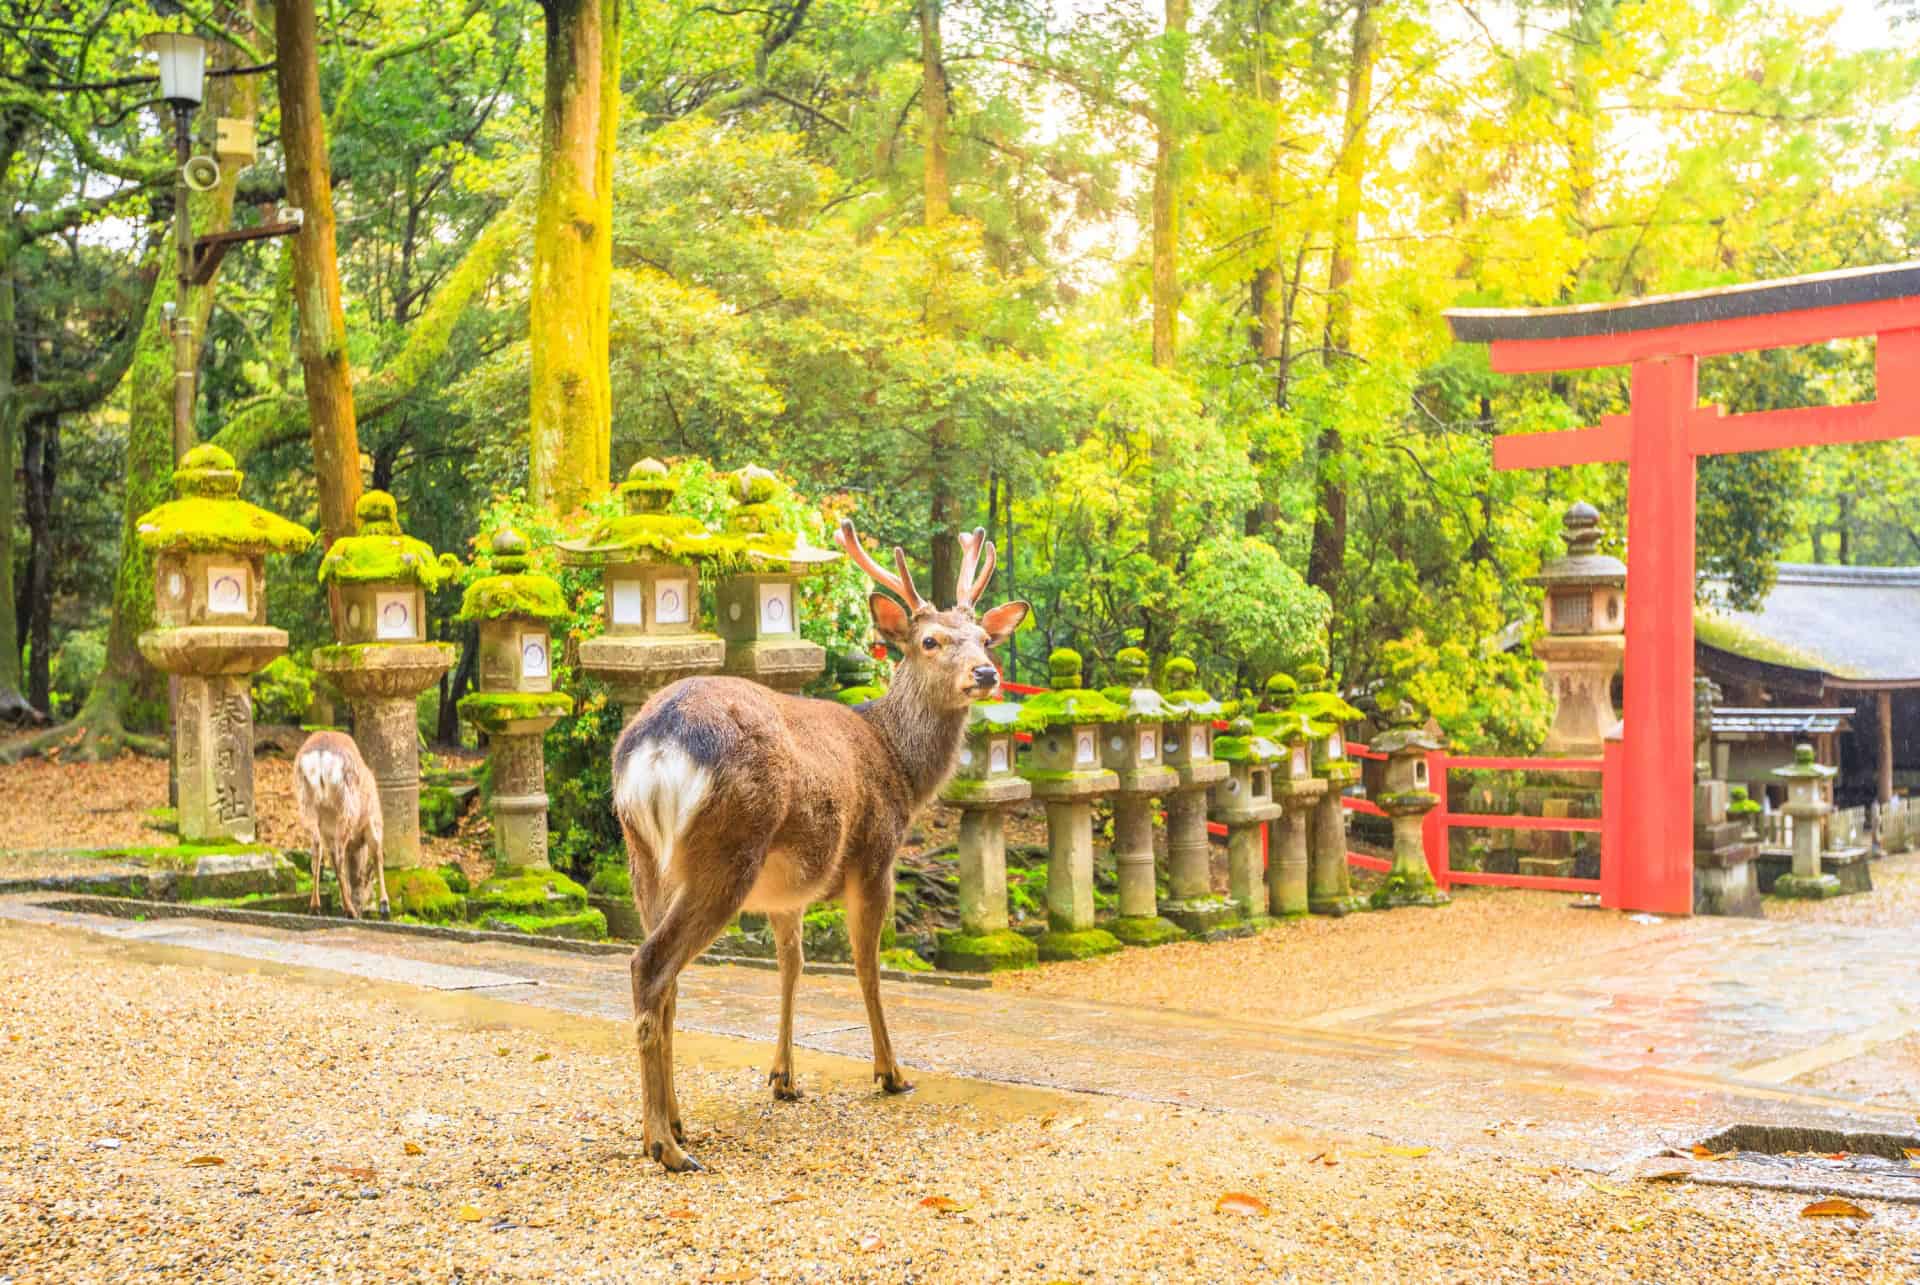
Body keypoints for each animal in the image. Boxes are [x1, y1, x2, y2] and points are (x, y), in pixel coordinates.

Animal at [292, 730, 389, 920]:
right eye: (368, 886)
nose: (363, 908)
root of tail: (321, 755)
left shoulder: (328, 834)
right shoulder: (373, 820)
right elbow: (378, 855)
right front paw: (384, 905)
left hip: (306, 804)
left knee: (316, 854)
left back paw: (316, 907)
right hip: (347, 804)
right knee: (338, 856)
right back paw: (349, 910)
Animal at [611, 520, 1028, 1172]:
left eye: (986, 637)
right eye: (930, 641)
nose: (985, 674)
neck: (900, 765)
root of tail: (657, 744)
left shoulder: (787, 892)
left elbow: (792, 964)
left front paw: (783, 1077)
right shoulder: (877, 854)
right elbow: (866, 966)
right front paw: (891, 1072)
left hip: (644, 855)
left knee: (667, 979)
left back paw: (675, 1123)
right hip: (728, 848)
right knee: (650, 965)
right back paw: (665, 1145)